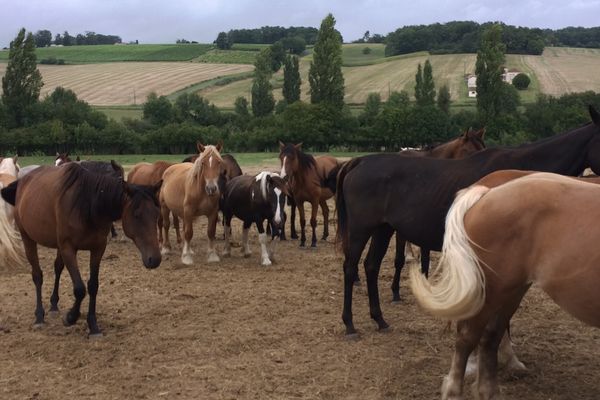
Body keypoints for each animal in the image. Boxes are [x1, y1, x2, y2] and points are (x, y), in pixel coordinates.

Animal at [0, 164, 162, 336]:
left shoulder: (98, 249)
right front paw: (70, 317)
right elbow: (79, 289)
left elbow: (93, 286)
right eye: (137, 215)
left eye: (156, 214)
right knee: (37, 275)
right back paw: (39, 316)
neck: (87, 205)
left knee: (57, 268)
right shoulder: (68, 248)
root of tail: (22, 182)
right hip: (28, 239)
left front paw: (93, 326)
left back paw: (54, 305)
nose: (155, 259)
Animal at [336, 104, 600, 336]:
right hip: (361, 229)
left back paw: (379, 319)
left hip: (383, 229)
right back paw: (349, 324)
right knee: (350, 267)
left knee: (371, 266)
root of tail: (359, 161)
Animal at [410, 172, 600, 400]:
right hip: (491, 291)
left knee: (490, 337)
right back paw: (454, 391)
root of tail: (486, 193)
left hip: (512, 291)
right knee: (467, 338)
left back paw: (488, 390)